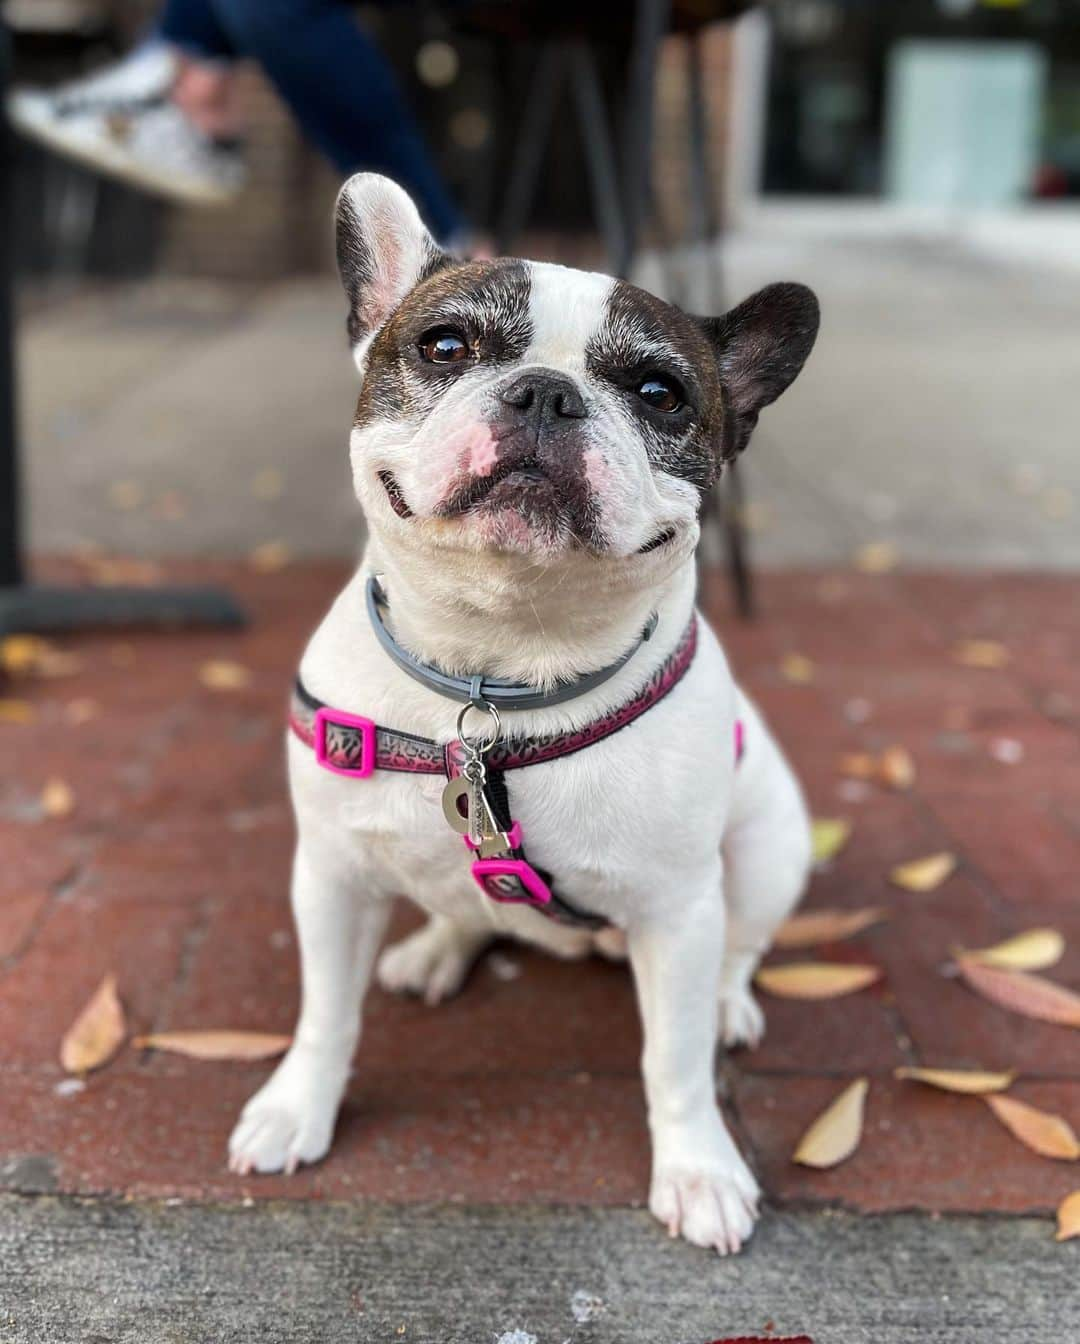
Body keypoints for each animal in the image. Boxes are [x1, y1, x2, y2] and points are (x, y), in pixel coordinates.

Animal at [229, 173, 816, 1252]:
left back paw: (726, 1003)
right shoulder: (329, 874)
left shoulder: (678, 908)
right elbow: (324, 1011)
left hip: (767, 852)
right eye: (444, 346)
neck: (494, 674)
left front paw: (700, 1168)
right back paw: (435, 948)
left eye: (659, 393)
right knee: (463, 907)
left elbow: (673, 1061)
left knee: (740, 949)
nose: (547, 391)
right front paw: (297, 1107)